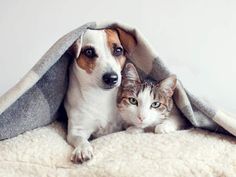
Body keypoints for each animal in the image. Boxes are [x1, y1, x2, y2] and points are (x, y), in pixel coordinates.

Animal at [64, 27, 136, 163]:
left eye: (118, 50)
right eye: (89, 52)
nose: (111, 78)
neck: (101, 96)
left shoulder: (125, 121)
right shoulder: (77, 130)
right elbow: (80, 139)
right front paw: (82, 149)